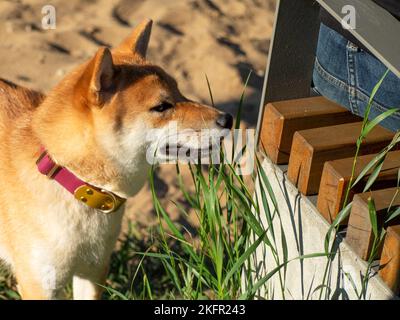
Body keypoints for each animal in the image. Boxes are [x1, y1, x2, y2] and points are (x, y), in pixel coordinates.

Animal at [0, 19, 233, 300]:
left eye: (181, 93)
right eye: (162, 107)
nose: (228, 119)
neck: (72, 179)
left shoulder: (93, 272)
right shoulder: (39, 284)